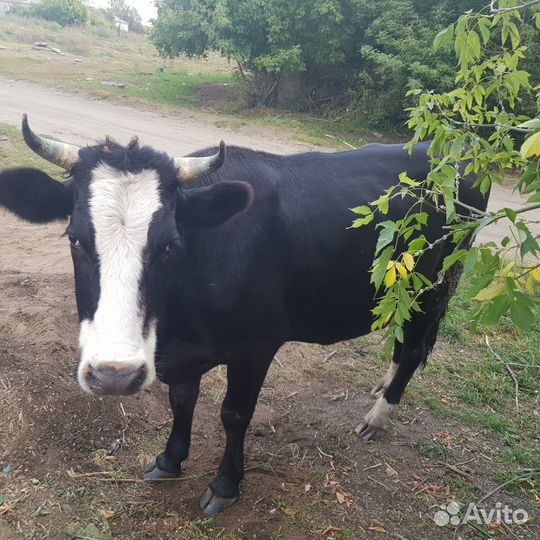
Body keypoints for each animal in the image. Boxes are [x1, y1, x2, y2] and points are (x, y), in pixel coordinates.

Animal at [0, 115, 490, 516]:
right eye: (75, 238)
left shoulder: (257, 345)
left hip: (434, 285)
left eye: (169, 244)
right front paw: (169, 460)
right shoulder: (180, 352)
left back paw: (377, 416)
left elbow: (235, 414)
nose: (113, 376)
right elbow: (182, 400)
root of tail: (450, 152)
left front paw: (225, 485)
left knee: (414, 348)